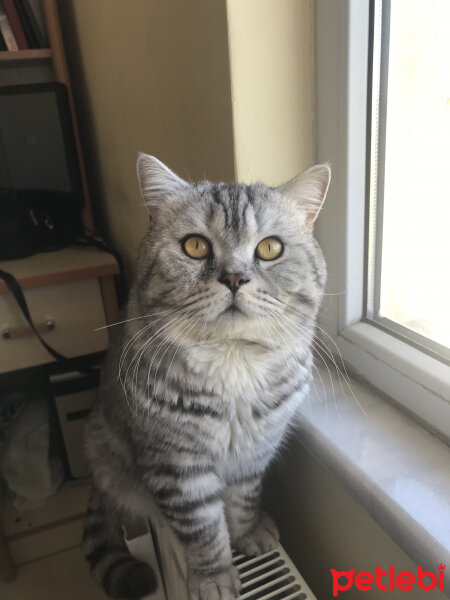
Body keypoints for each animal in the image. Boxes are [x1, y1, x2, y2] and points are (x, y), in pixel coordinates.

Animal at [83, 155, 330, 600]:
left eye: (270, 248)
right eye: (195, 246)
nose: (234, 278)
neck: (234, 361)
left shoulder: (255, 451)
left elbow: (244, 501)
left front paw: (248, 534)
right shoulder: (178, 465)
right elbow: (202, 529)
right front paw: (214, 577)